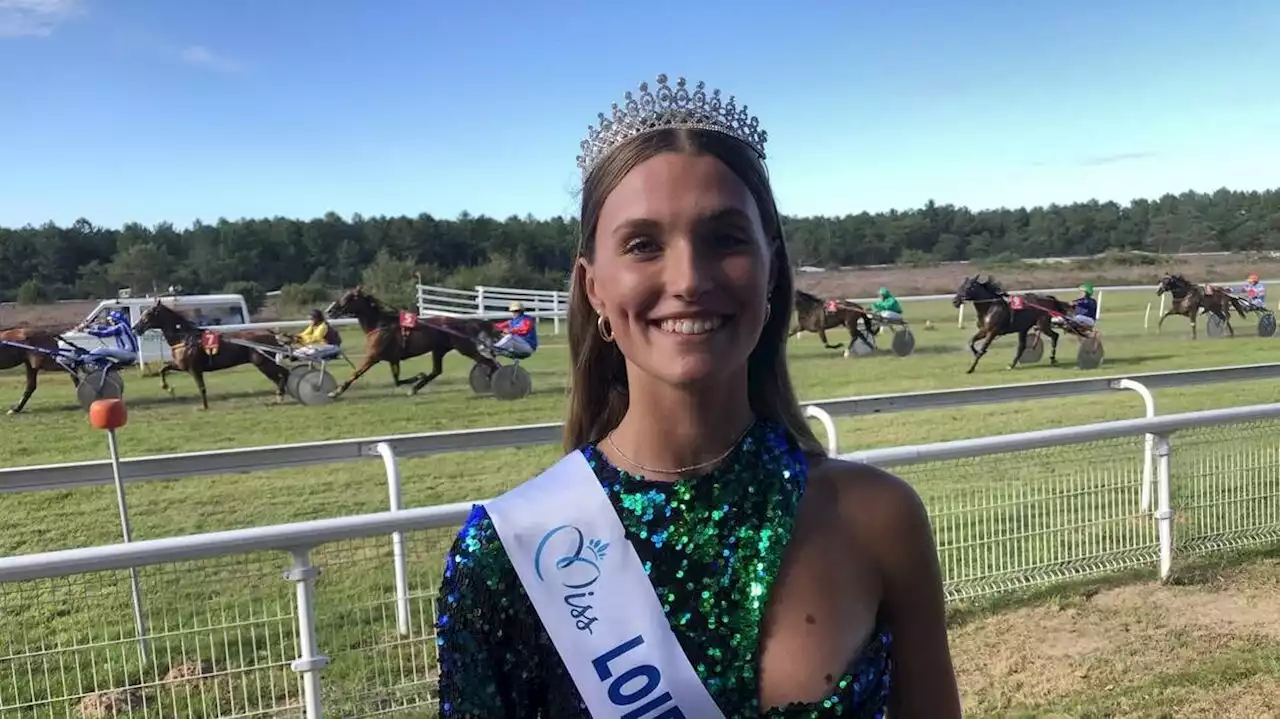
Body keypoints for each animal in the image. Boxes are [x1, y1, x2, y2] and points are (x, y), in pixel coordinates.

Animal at [131, 298, 289, 409]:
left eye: (148, 314)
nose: (135, 328)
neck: (185, 338)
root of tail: (270, 334)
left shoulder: (194, 369)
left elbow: (201, 387)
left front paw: (204, 407)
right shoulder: (181, 365)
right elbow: (163, 369)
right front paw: (167, 388)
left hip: (264, 362)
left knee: (283, 373)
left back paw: (280, 395)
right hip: (264, 363)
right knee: (279, 377)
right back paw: (279, 396)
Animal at [320, 286, 499, 396]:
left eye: (350, 297)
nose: (329, 310)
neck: (380, 325)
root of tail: (463, 322)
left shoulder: (372, 357)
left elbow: (355, 374)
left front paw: (335, 392)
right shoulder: (393, 359)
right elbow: (397, 381)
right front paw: (417, 377)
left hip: (464, 348)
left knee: (488, 362)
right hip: (439, 350)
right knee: (436, 370)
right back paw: (415, 388)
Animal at [952, 273, 1080, 371]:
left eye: (969, 287)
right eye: (961, 286)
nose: (955, 301)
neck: (989, 307)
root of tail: (1048, 298)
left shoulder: (993, 332)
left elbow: (982, 347)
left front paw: (971, 368)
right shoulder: (984, 330)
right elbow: (971, 342)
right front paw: (976, 353)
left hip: (1042, 325)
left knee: (1054, 336)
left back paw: (1052, 359)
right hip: (1024, 328)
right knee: (1022, 346)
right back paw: (1012, 365)